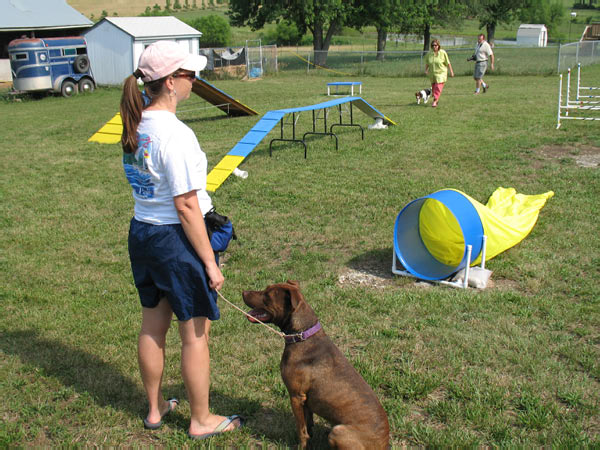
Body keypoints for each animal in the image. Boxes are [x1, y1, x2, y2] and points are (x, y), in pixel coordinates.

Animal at [243, 280, 390, 448]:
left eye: (267, 295)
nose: (243, 292)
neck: (302, 335)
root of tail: (384, 444)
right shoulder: (306, 401)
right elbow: (308, 425)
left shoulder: (296, 396)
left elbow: (301, 431)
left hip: (338, 431)